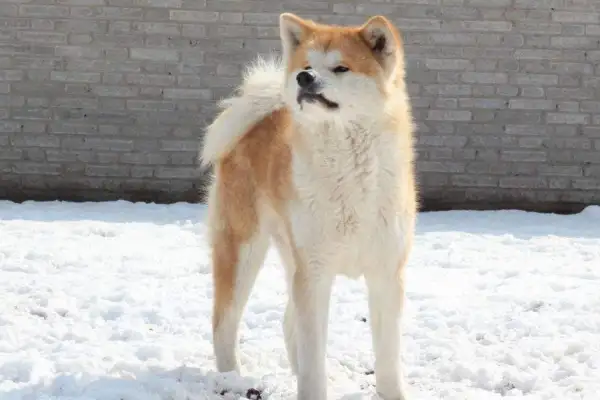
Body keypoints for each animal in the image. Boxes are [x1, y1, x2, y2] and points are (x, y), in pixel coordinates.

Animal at [199, 12, 414, 400]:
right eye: (306, 66)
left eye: (341, 68)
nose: (304, 79)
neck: (348, 168)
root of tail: (257, 122)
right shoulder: (314, 273)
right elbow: (314, 362)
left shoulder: (385, 274)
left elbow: (387, 360)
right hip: (243, 249)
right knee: (224, 322)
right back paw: (230, 380)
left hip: (289, 256)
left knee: (287, 324)